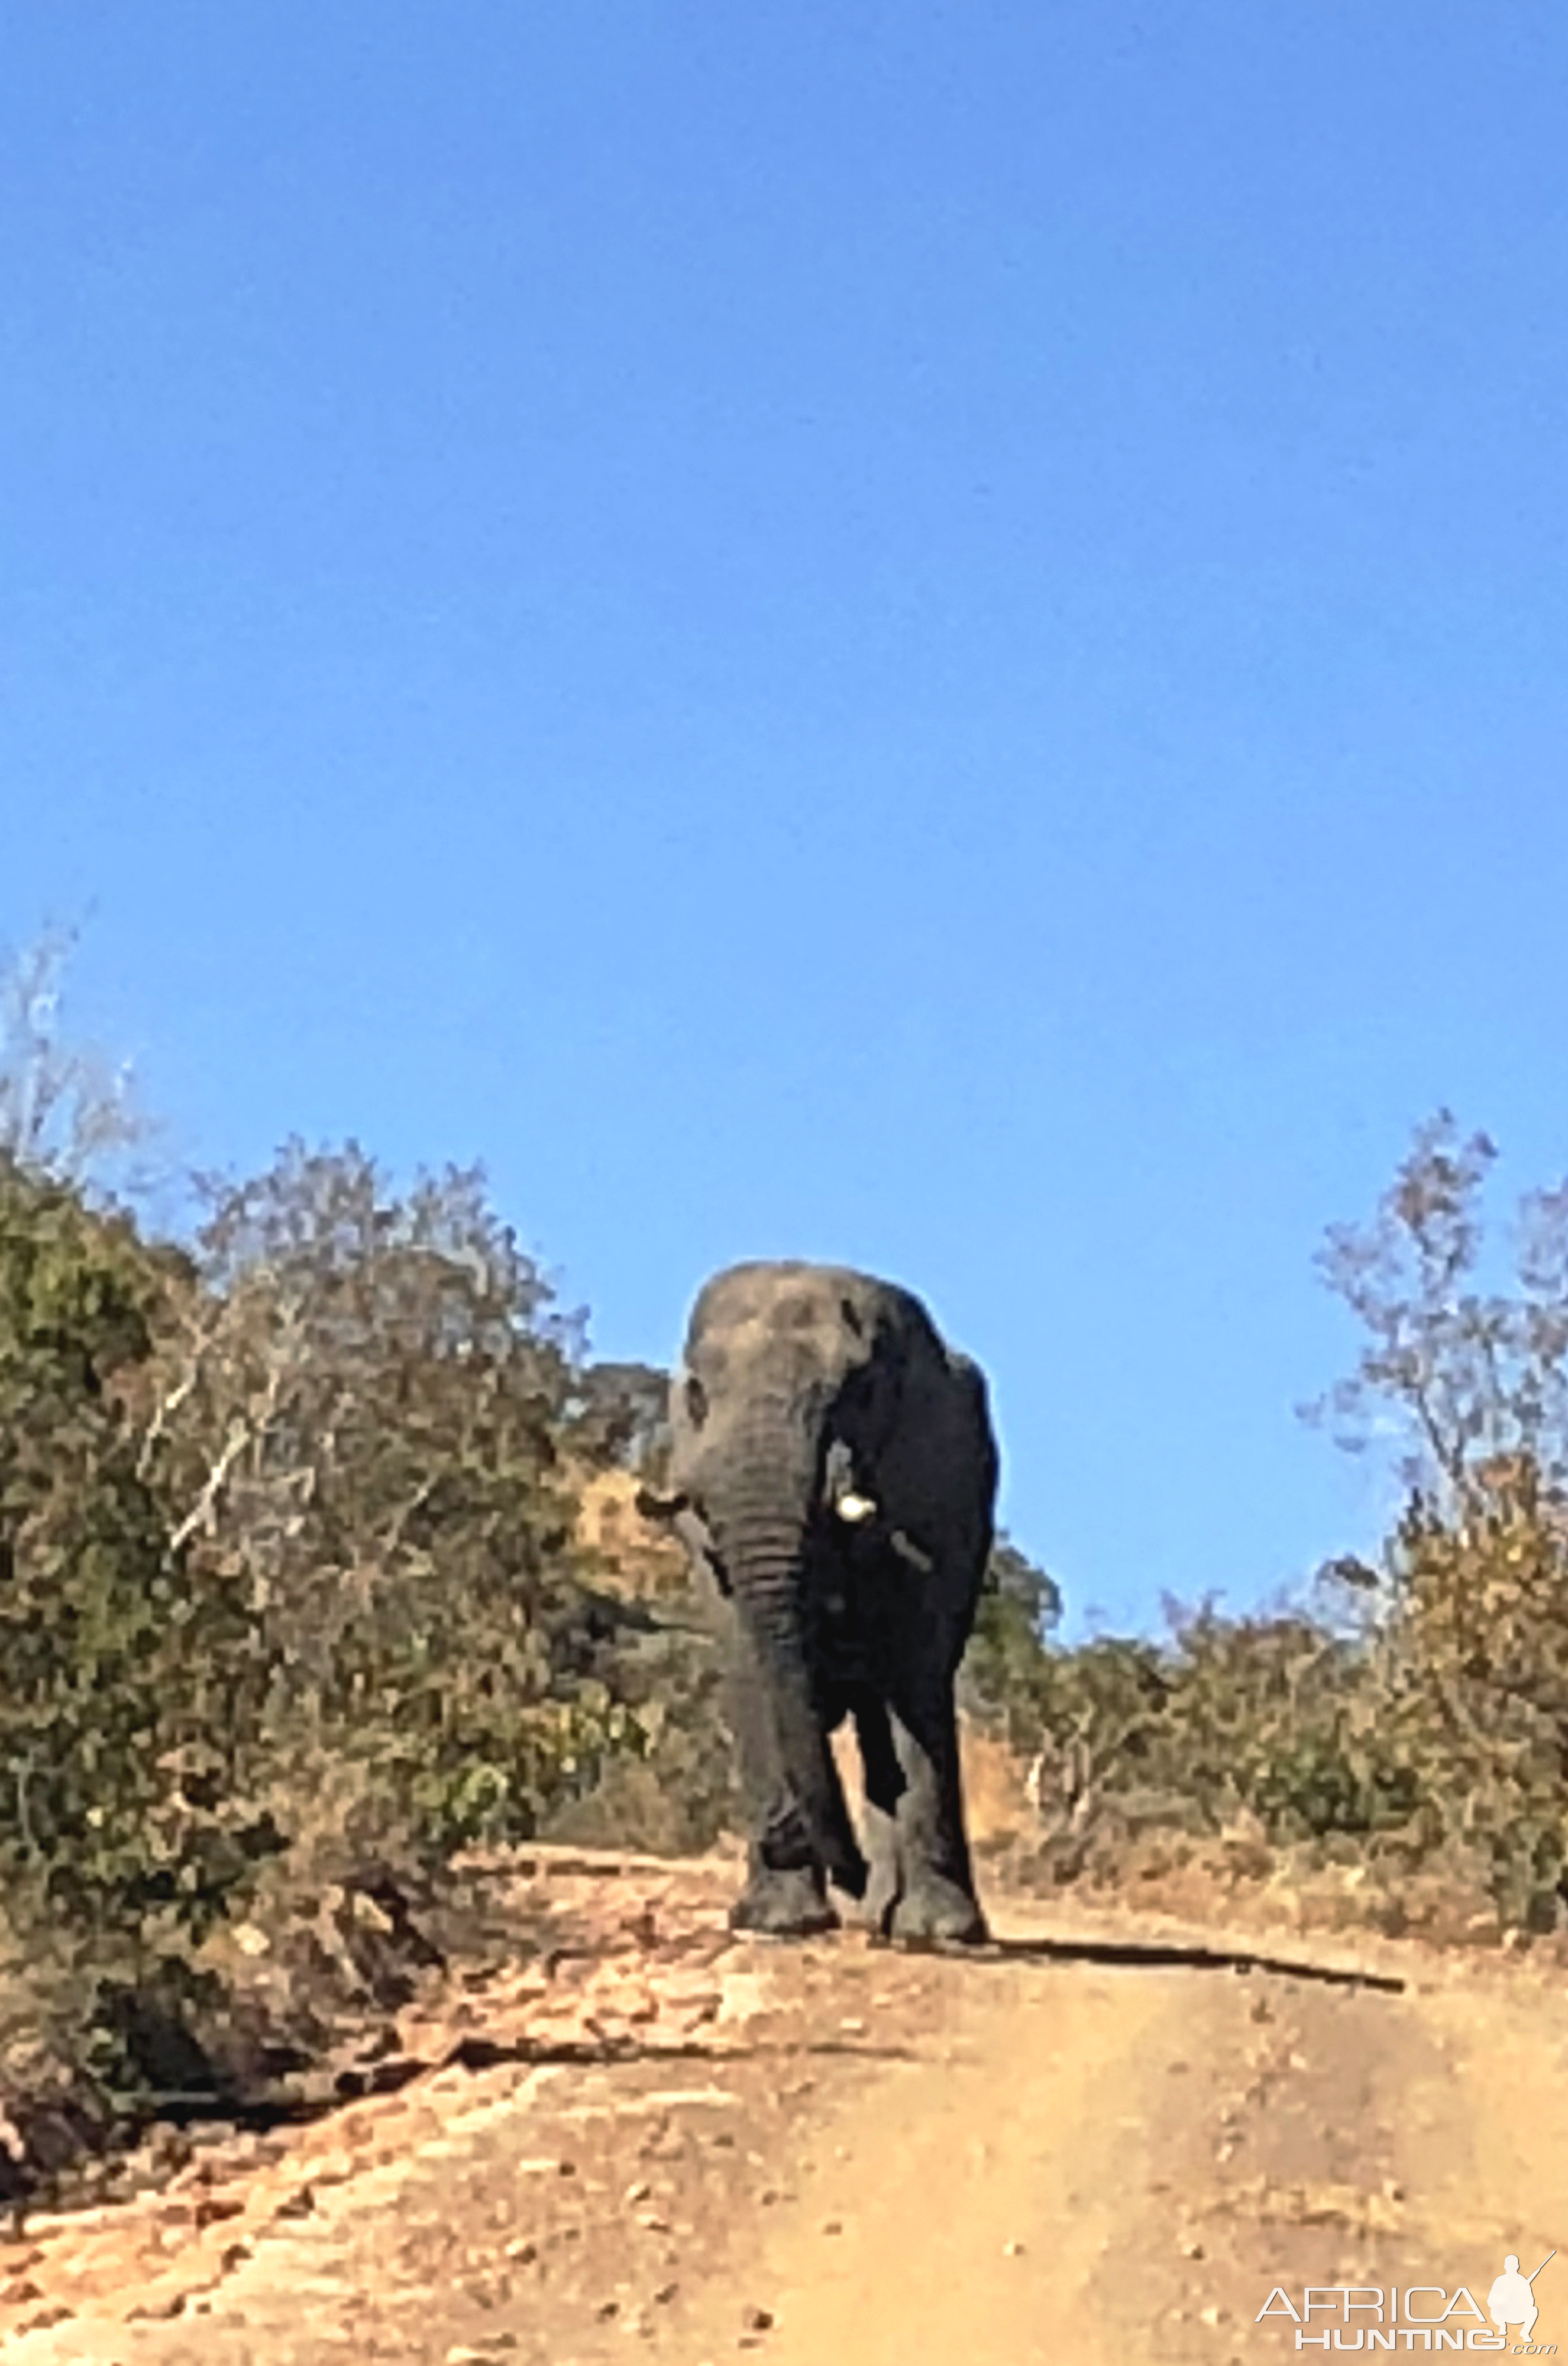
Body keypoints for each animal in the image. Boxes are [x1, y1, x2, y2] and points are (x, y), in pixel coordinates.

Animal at [643, 1259, 998, 1940]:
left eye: (858, 1394)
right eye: (697, 1395)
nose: (785, 1837)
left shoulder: (935, 1483)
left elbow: (915, 1669)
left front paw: (940, 1933)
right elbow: (748, 1663)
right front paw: (777, 1921)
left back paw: (897, 1917)